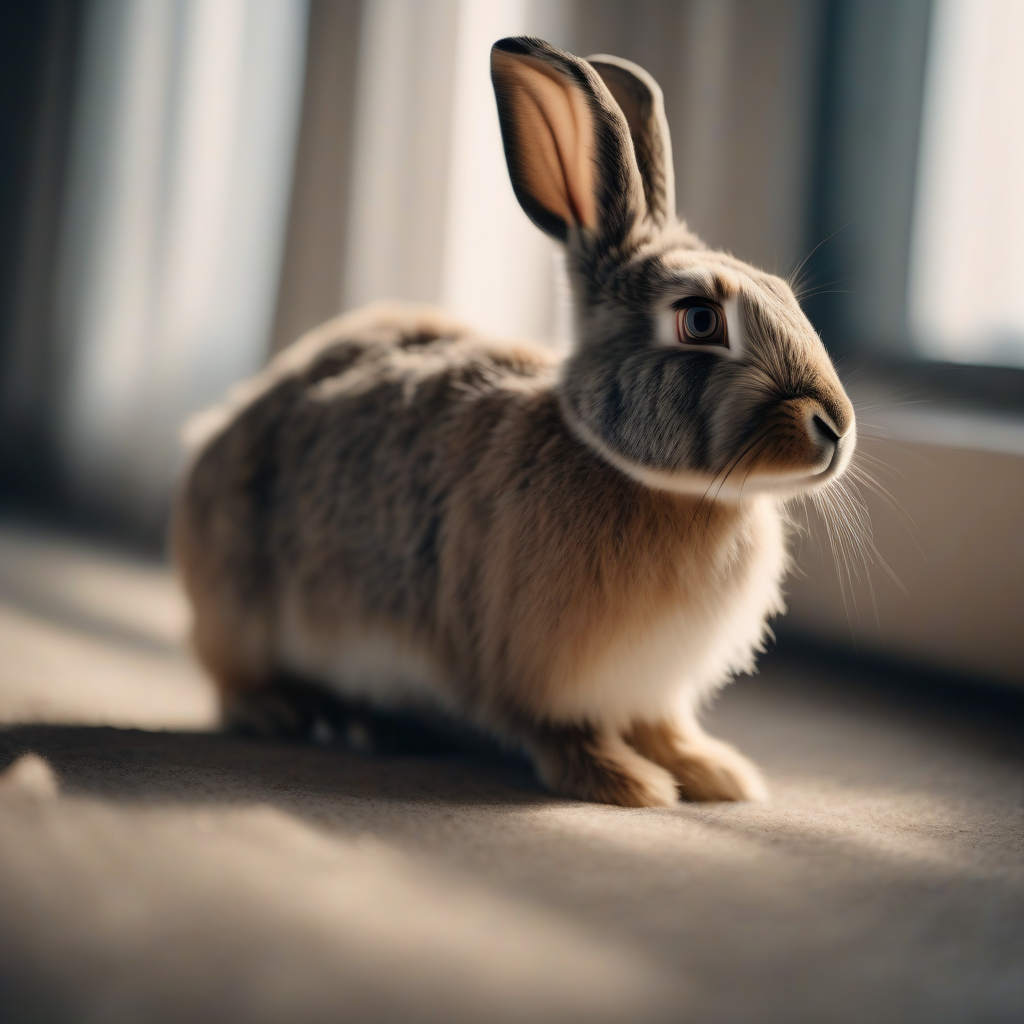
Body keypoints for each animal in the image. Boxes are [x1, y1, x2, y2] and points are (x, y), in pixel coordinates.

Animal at [173, 37, 856, 807]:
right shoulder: (532, 673)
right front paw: (628, 785)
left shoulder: (654, 689)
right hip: (240, 608)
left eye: (784, 297)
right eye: (701, 321)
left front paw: (716, 773)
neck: (648, 481)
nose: (835, 427)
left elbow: (664, 728)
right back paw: (297, 713)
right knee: (233, 686)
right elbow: (563, 732)